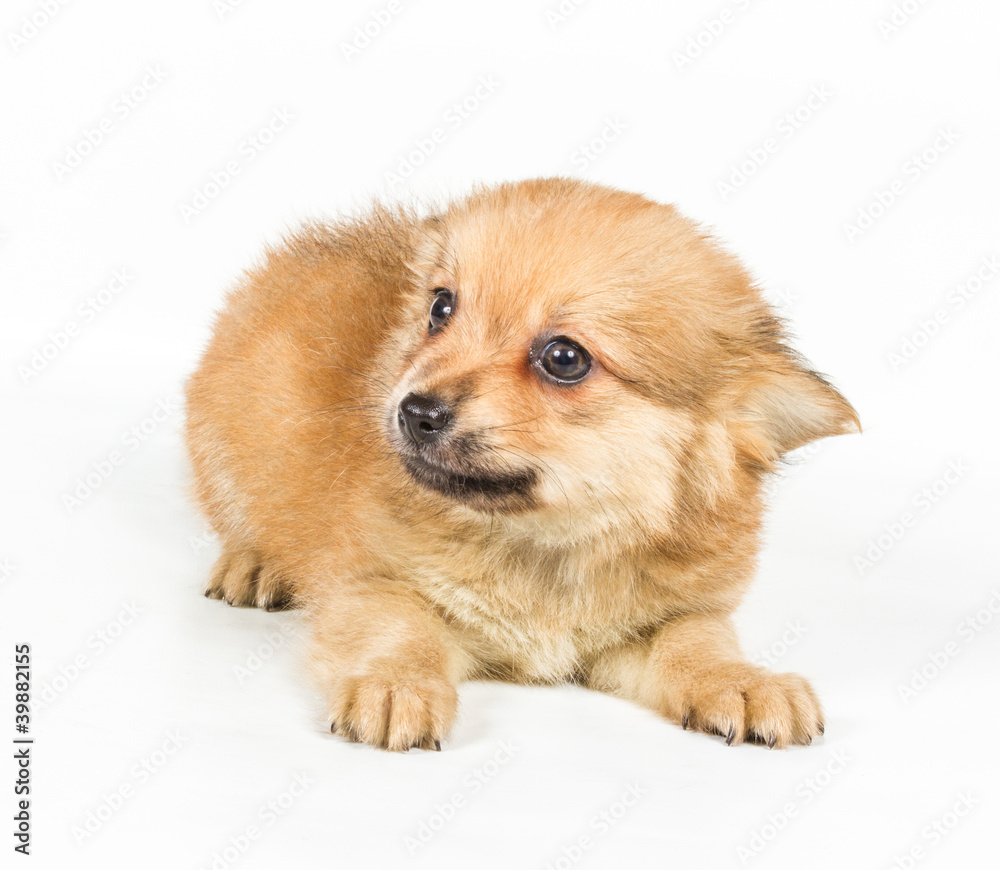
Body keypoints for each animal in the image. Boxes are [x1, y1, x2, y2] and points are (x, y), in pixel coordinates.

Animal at [186, 177, 860, 748]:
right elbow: (401, 630)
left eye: (564, 358)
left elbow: (697, 644)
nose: (414, 410)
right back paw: (256, 565)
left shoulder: (669, 620)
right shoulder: (371, 583)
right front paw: (397, 685)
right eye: (441, 309)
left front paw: (743, 682)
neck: (547, 547)